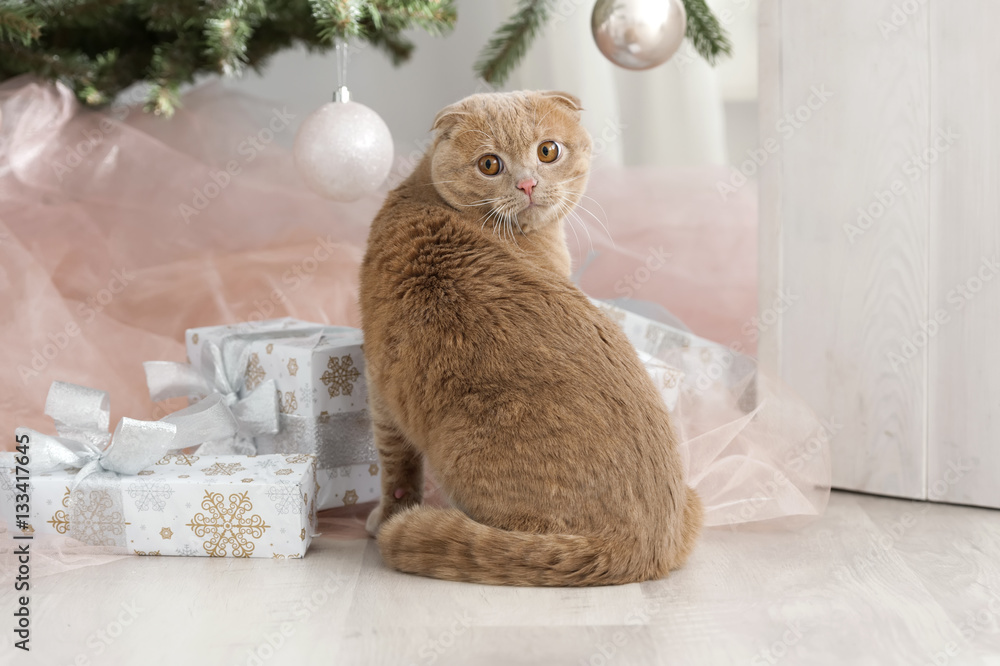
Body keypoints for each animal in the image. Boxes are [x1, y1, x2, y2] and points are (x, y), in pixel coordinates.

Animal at [362, 91, 704, 584]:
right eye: (490, 164)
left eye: (547, 151)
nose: (527, 184)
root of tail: (643, 548)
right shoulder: (378, 379)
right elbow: (396, 464)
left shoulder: (381, 384)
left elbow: (396, 466)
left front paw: (388, 516)